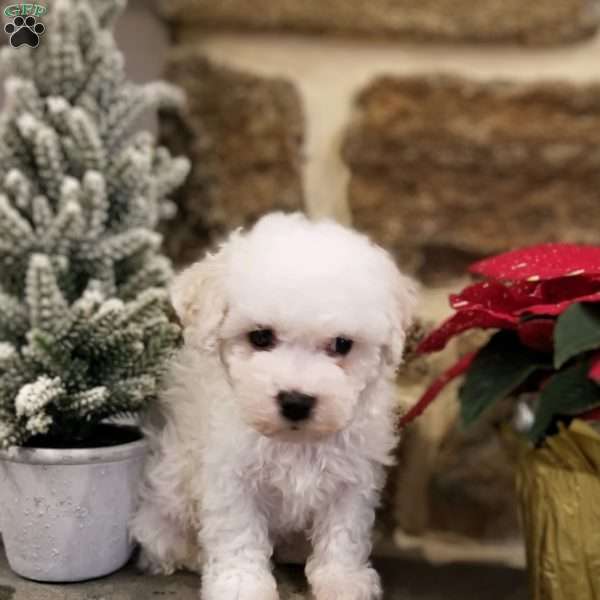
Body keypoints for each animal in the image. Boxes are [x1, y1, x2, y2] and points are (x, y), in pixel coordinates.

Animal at [132, 212, 418, 600]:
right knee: (158, 532)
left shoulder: (353, 476)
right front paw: (241, 584)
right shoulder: (231, 474)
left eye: (342, 345)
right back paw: (184, 552)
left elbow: (344, 530)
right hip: (169, 484)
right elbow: (237, 531)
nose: (296, 401)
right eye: (261, 337)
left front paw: (342, 580)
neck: (295, 440)